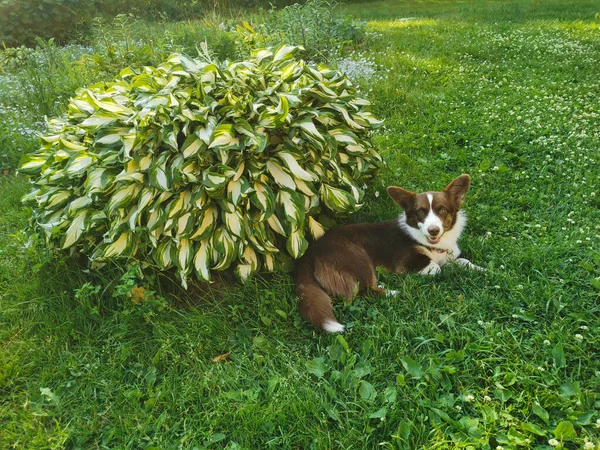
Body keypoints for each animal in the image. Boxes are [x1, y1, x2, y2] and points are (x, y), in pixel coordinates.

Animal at [292, 174, 486, 332]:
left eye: (443, 210)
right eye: (420, 212)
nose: (433, 230)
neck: (431, 244)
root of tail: (309, 253)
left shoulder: (452, 255)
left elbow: (464, 262)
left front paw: (482, 269)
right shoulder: (408, 263)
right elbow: (438, 268)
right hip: (357, 258)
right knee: (364, 292)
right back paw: (396, 293)